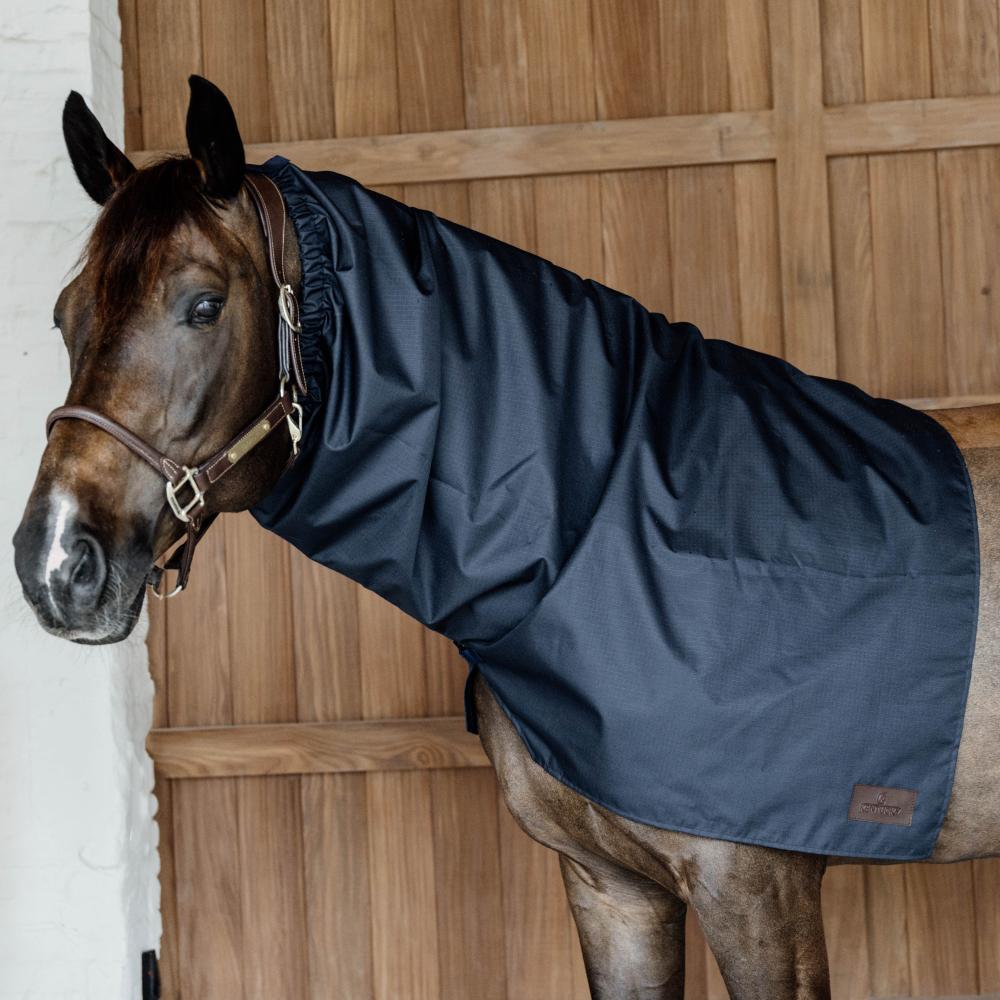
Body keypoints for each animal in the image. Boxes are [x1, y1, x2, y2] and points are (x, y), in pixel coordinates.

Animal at [12, 76, 1000, 1000]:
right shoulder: (612, 891)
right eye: (64, 315)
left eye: (204, 305)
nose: (55, 561)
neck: (603, 522)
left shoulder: (760, 894)